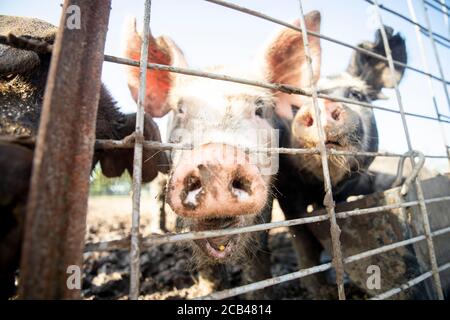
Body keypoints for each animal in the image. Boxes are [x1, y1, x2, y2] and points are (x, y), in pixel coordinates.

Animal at [270, 23, 408, 298]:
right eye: (296, 106)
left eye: (357, 94)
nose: (322, 103)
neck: (318, 186)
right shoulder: (288, 191)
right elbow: (303, 240)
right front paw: (320, 290)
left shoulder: (347, 189)